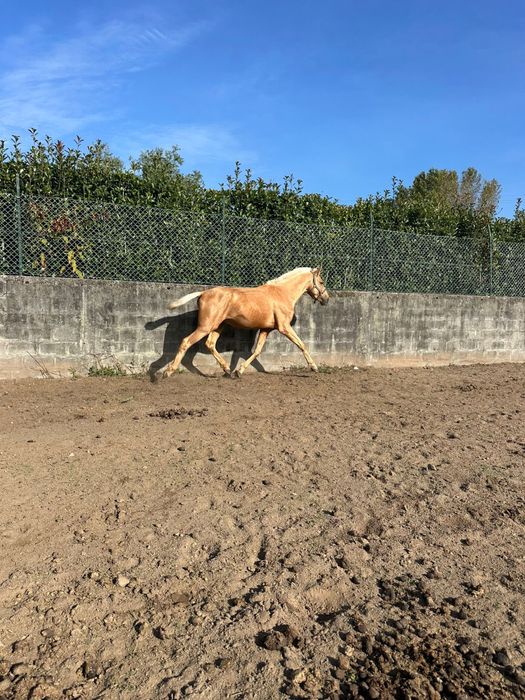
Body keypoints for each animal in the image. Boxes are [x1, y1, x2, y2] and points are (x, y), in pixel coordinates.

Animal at [153, 267, 329, 381]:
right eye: (321, 281)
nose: (326, 299)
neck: (282, 293)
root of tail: (203, 293)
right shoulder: (284, 327)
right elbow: (302, 344)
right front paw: (314, 367)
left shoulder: (266, 329)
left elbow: (257, 351)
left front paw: (239, 371)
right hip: (205, 327)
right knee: (186, 342)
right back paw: (167, 372)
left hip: (218, 326)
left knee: (210, 344)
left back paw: (227, 371)